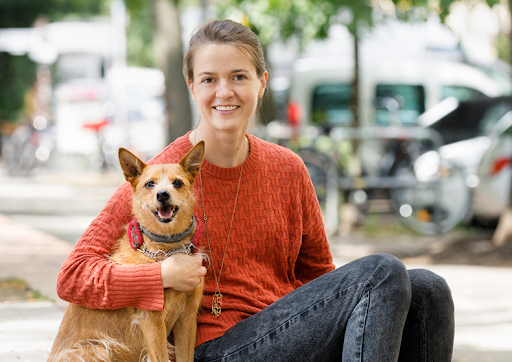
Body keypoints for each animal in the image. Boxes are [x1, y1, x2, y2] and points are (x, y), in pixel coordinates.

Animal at [49, 141, 205, 362]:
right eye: (149, 184)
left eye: (177, 183)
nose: (162, 194)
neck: (167, 251)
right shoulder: (151, 319)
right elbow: (161, 356)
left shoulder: (188, 317)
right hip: (100, 349)